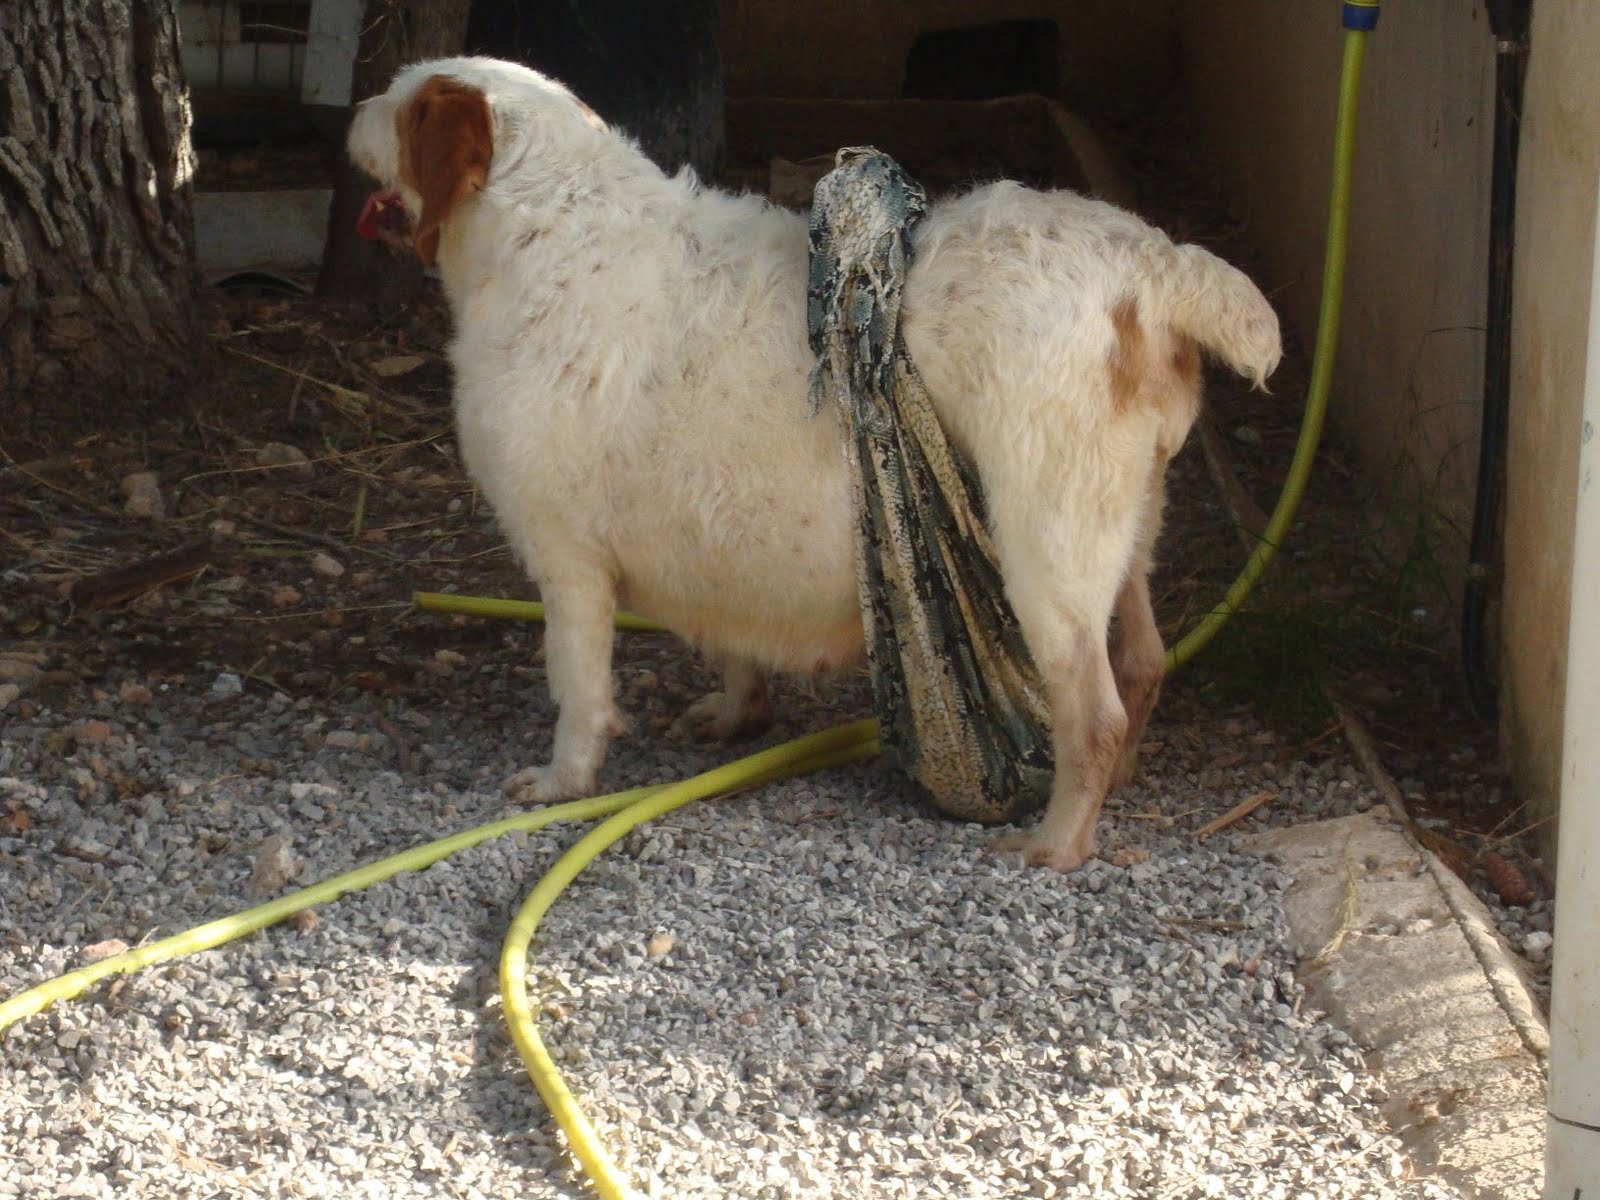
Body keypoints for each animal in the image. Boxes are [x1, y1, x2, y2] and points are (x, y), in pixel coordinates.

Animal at [344, 56, 1280, 876]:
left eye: (404, 103)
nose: (351, 110)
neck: (547, 232)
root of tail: (1152, 264)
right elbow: (731, 643)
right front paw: (737, 714)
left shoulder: (566, 561)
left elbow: (578, 687)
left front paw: (563, 781)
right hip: (1124, 529)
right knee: (1145, 663)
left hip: (1045, 553)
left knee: (1096, 712)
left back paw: (1057, 840)